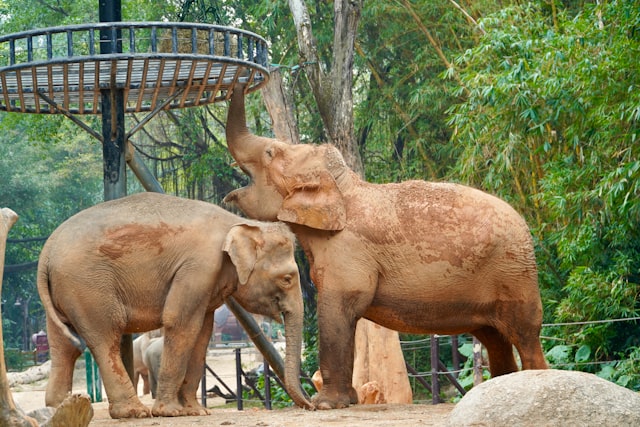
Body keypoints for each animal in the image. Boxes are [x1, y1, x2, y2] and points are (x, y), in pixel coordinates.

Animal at [37, 192, 312, 420]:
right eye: (287, 279)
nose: (311, 405)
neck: (238, 222)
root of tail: (46, 251)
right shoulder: (199, 267)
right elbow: (180, 323)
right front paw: (170, 412)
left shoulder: (208, 281)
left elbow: (202, 333)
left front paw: (197, 411)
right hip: (88, 288)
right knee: (106, 339)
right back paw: (133, 412)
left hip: (65, 292)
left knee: (64, 346)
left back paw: (58, 408)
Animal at [224, 84, 544, 412]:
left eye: (270, 153)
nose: (240, 85)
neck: (343, 187)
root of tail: (525, 225)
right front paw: (345, 401)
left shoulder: (348, 250)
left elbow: (338, 308)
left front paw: (326, 404)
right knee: (494, 337)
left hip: (515, 274)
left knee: (525, 333)